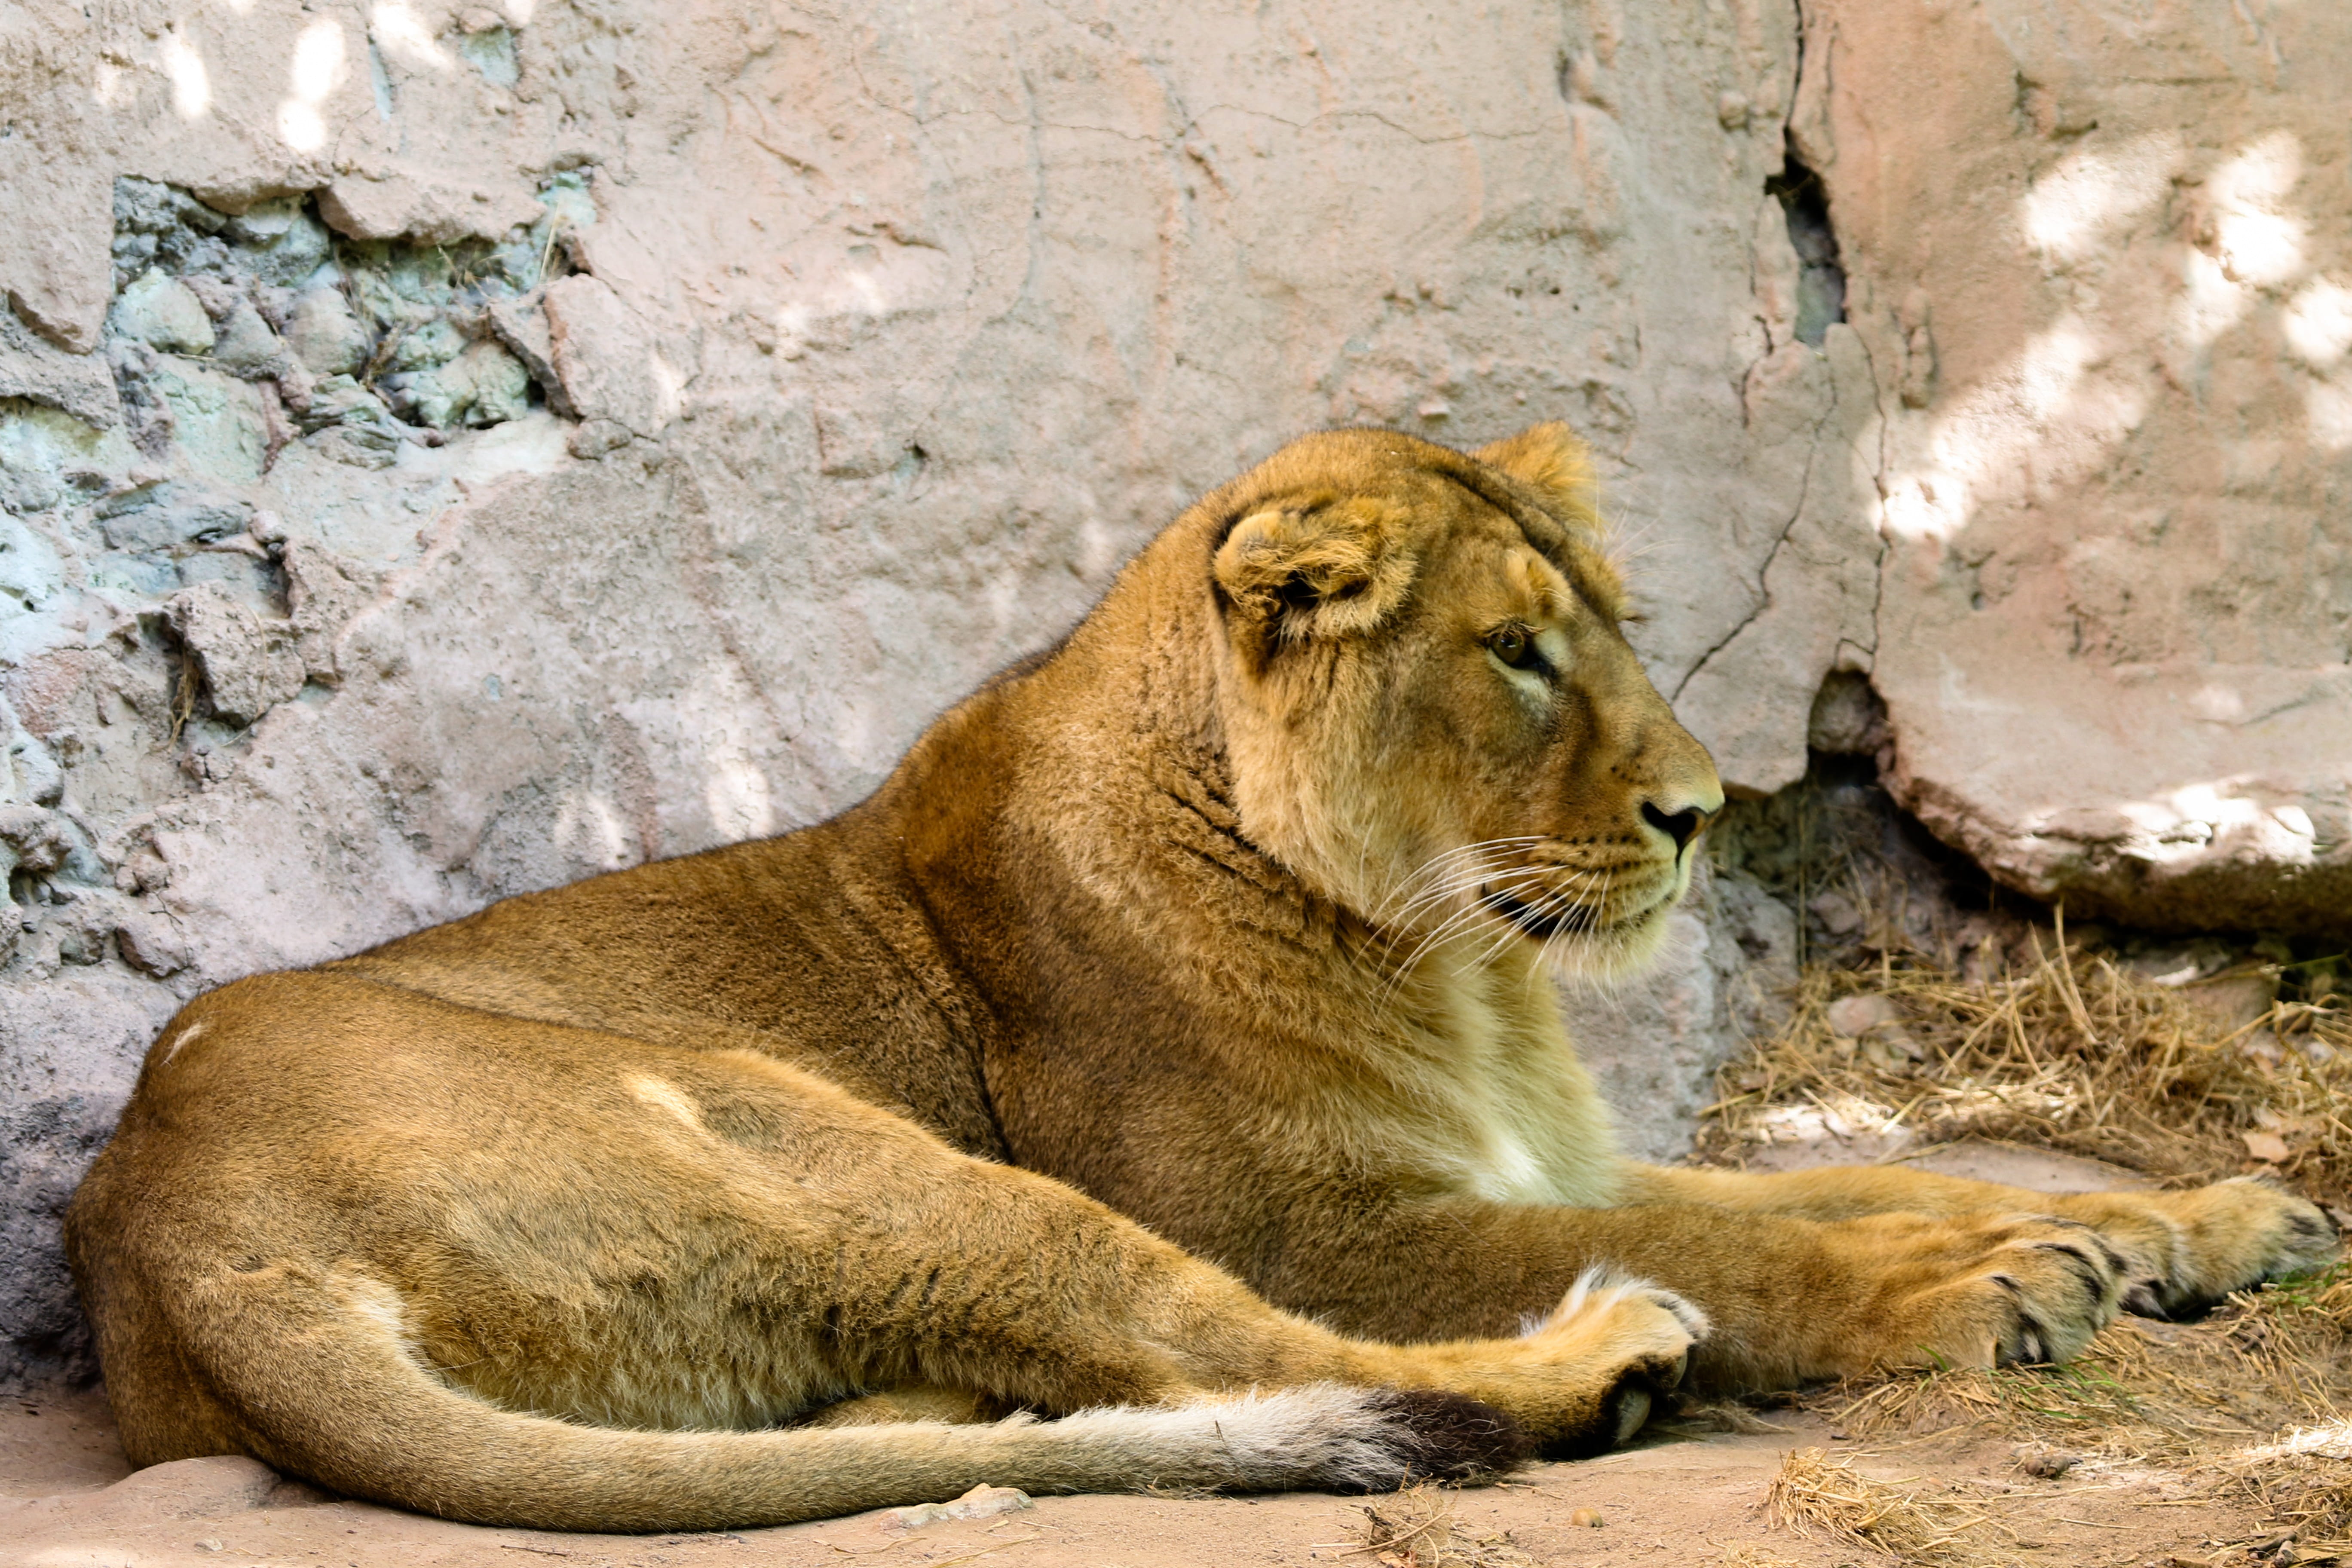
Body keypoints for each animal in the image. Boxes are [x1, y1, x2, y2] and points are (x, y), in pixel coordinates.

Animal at [67, 424, 2333, 1533]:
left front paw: (2206, 1219)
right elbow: (1769, 1246)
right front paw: (2000, 1287)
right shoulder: (1318, 1210)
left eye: (1606, 625)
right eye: (1516, 654)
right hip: (814, 1137)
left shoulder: (1528, 1159)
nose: (1704, 812)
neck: (1458, 963)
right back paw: (1596, 1365)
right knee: (1238, 1350)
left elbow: (1861, 1176)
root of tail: (169, 1230)